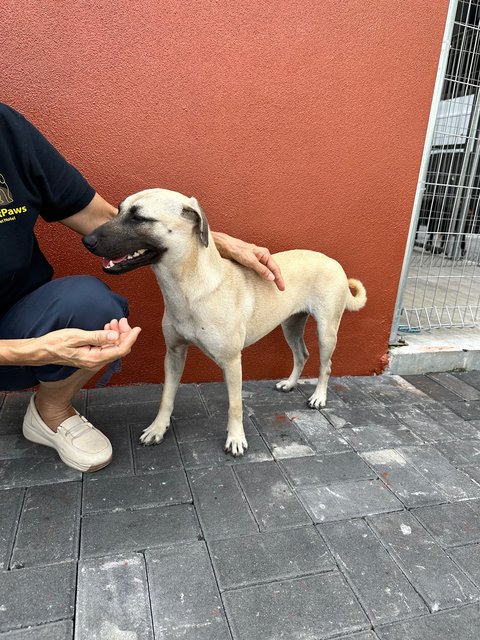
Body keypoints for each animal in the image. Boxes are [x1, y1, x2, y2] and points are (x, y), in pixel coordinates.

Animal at [83, 190, 368, 456]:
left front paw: (236, 439)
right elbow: (166, 397)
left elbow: (235, 405)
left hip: (326, 330)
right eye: (118, 210)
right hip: (290, 325)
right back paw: (289, 383)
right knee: (301, 354)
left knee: (326, 365)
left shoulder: (232, 362)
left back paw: (318, 396)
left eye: (139, 218)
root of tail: (332, 261)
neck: (188, 288)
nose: (87, 240)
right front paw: (158, 428)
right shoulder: (174, 353)